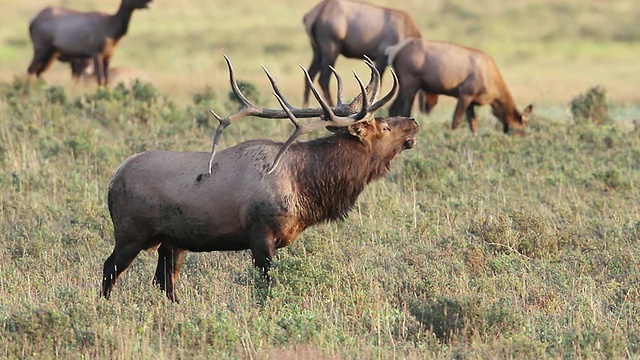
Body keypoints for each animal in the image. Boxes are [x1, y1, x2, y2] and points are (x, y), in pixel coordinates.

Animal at [102, 54, 418, 300]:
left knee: (164, 282)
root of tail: (113, 179)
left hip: (171, 241)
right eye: (384, 127)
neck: (306, 187)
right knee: (109, 268)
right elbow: (268, 285)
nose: (413, 121)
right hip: (131, 231)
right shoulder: (260, 234)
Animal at [388, 38, 532, 136]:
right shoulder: (465, 93)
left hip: (402, 84)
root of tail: (393, 51)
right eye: (521, 128)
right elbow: (456, 120)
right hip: (410, 82)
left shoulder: (472, 102)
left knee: (393, 108)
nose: (519, 138)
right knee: (405, 110)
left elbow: (473, 124)